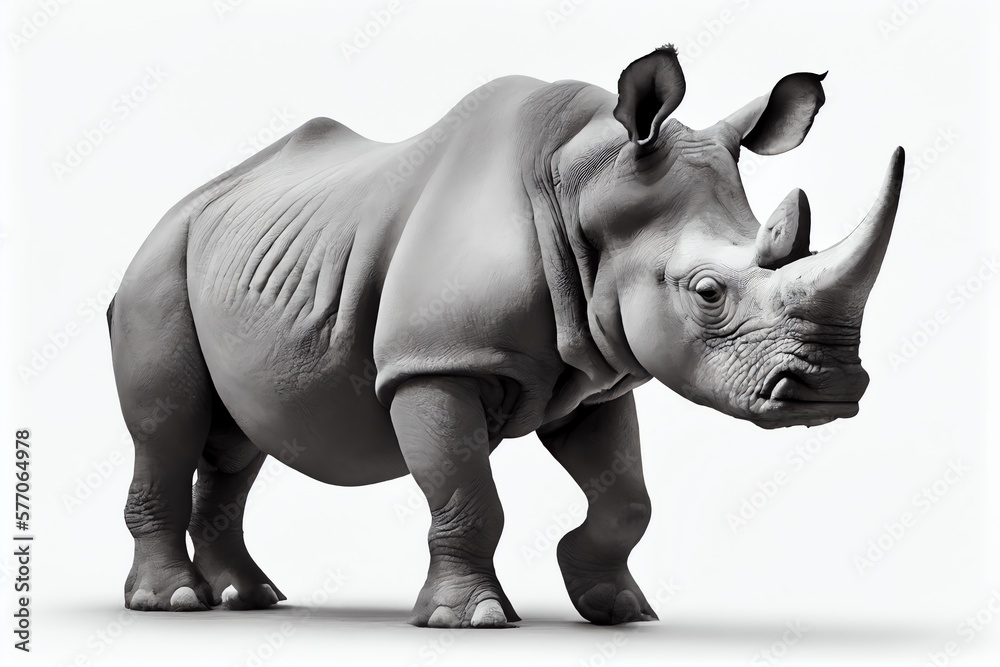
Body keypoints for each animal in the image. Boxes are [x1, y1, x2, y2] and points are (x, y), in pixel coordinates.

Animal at [107, 45, 904, 627]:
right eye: (707, 292)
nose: (832, 387)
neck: (583, 185)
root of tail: (178, 207)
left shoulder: (596, 373)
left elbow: (627, 496)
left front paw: (616, 609)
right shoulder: (436, 363)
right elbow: (467, 493)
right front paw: (472, 619)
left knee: (236, 444)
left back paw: (249, 598)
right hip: (158, 265)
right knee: (169, 427)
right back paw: (172, 603)